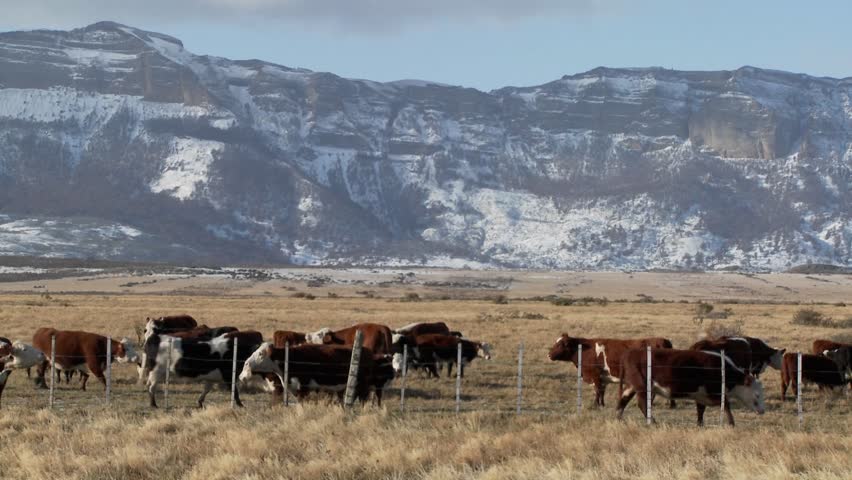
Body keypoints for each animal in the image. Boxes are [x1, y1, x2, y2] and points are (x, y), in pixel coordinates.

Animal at [617, 348, 765, 426]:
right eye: (757, 394)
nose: (762, 411)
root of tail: (630, 353)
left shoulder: (701, 395)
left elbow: (701, 409)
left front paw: (700, 423)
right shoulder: (714, 393)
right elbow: (726, 405)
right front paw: (731, 423)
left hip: (632, 386)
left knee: (623, 399)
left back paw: (619, 417)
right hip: (642, 387)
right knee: (642, 404)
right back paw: (652, 421)